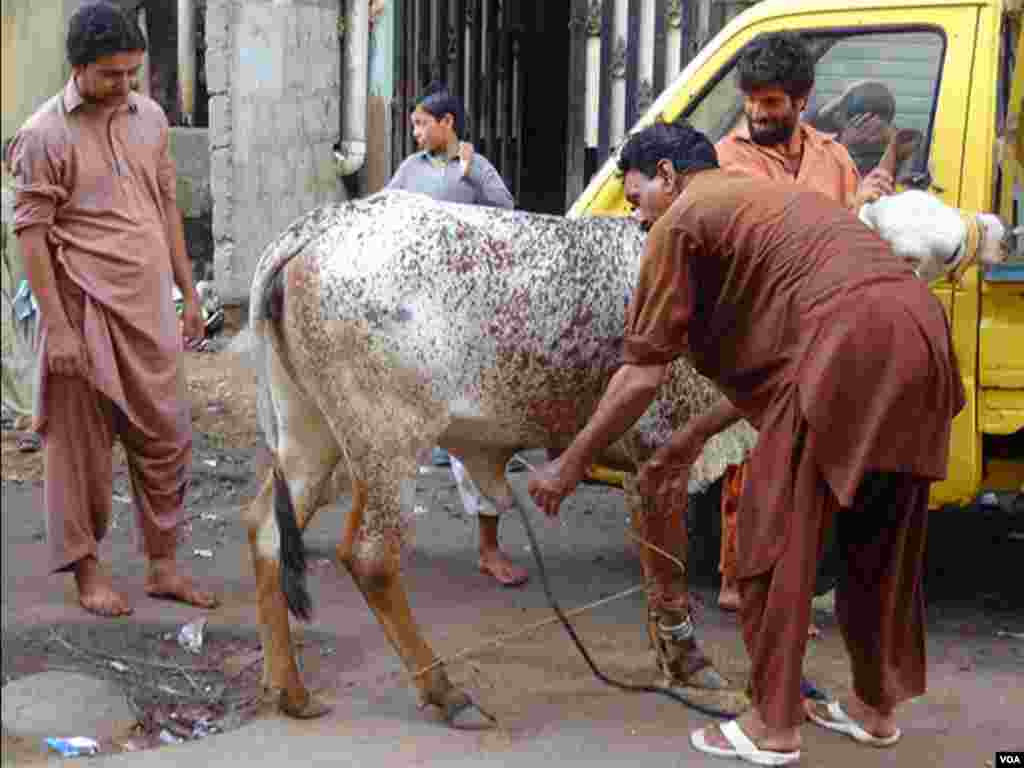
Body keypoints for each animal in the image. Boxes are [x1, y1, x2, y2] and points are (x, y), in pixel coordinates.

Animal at [239, 192, 753, 729]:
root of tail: (319, 225)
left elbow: (654, 569)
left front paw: (670, 657)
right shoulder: (663, 447)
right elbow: (669, 566)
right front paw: (692, 664)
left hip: (309, 436)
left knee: (266, 529)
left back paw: (290, 689)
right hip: (389, 443)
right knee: (371, 557)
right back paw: (446, 693)